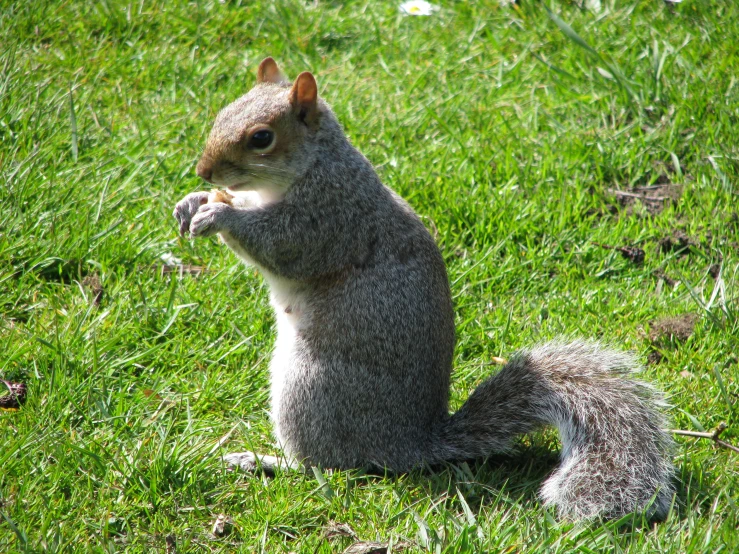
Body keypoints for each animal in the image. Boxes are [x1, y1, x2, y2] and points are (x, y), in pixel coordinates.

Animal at [173, 58, 676, 520]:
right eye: (223, 112)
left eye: (262, 137)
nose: (203, 171)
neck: (310, 166)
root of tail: (410, 444)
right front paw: (193, 203)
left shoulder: (329, 217)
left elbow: (282, 247)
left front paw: (220, 214)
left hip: (310, 388)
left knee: (331, 468)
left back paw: (266, 461)